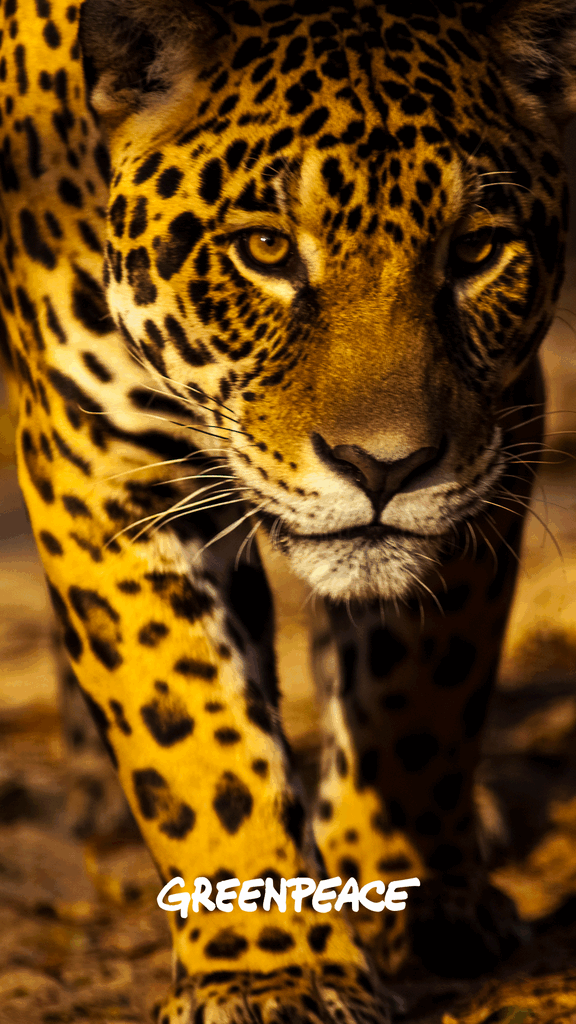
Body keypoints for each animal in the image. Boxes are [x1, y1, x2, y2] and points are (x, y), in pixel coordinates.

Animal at [1, 0, 575, 1020]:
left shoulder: (501, 426)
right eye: (266, 249)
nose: (384, 467)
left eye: (476, 251)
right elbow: (196, 733)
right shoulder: (101, 456)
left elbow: (418, 692)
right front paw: (272, 969)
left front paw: (398, 892)